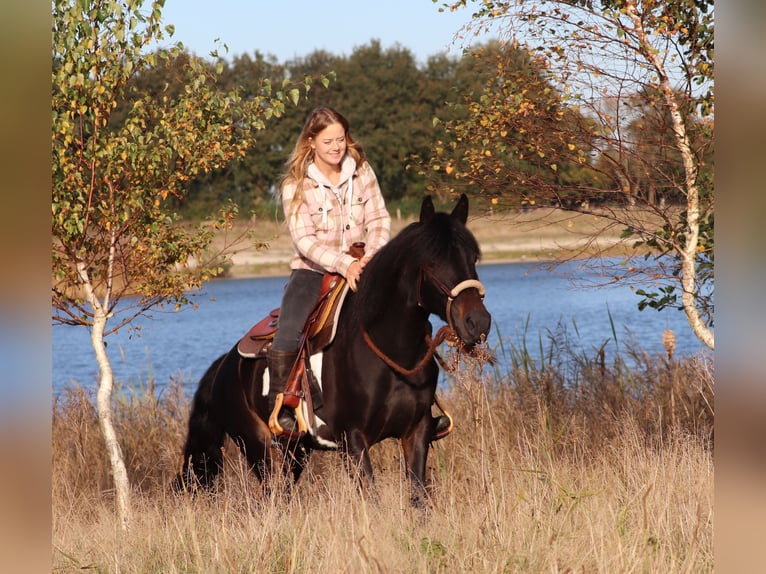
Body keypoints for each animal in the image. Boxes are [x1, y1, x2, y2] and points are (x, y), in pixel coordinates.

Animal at [176, 196, 492, 506]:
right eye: (433, 260)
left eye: (473, 258)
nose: (477, 322)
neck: (390, 351)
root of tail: (225, 365)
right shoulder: (352, 440)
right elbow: (371, 500)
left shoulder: (417, 432)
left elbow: (419, 498)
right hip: (259, 448)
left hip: (295, 452)